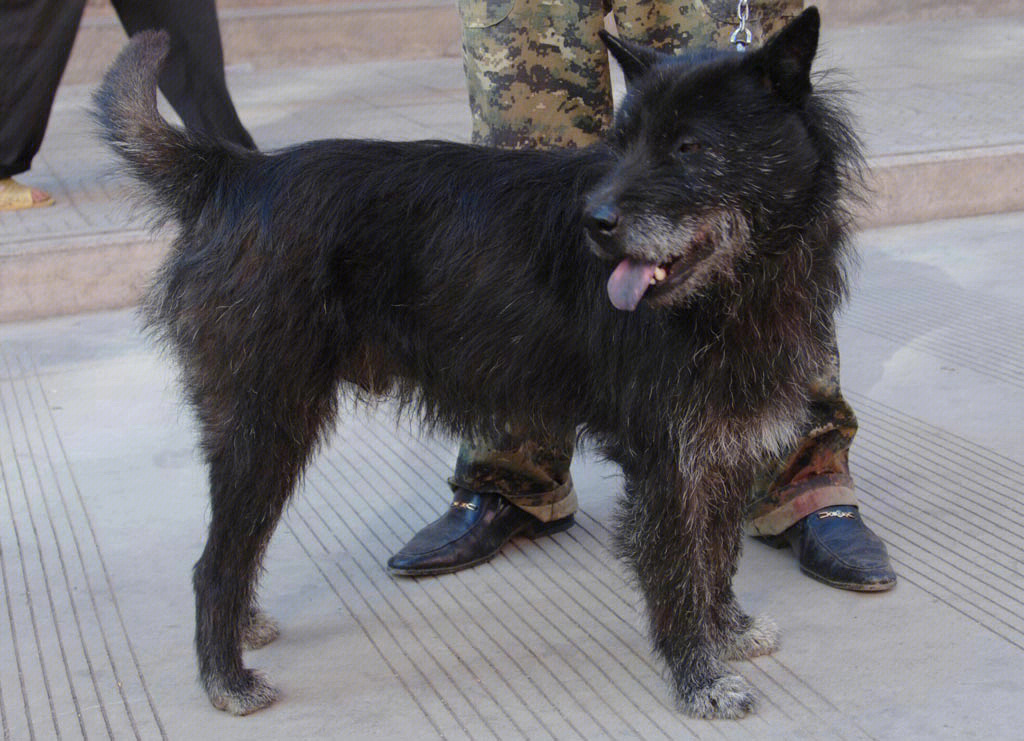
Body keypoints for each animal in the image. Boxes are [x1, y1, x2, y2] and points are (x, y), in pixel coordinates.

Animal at [97, 7, 864, 716]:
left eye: (690, 146)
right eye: (621, 144)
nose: (596, 224)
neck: (737, 286)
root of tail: (236, 173)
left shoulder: (722, 443)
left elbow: (718, 552)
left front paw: (726, 628)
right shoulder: (667, 460)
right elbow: (679, 571)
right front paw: (698, 677)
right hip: (265, 425)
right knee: (213, 564)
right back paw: (224, 676)